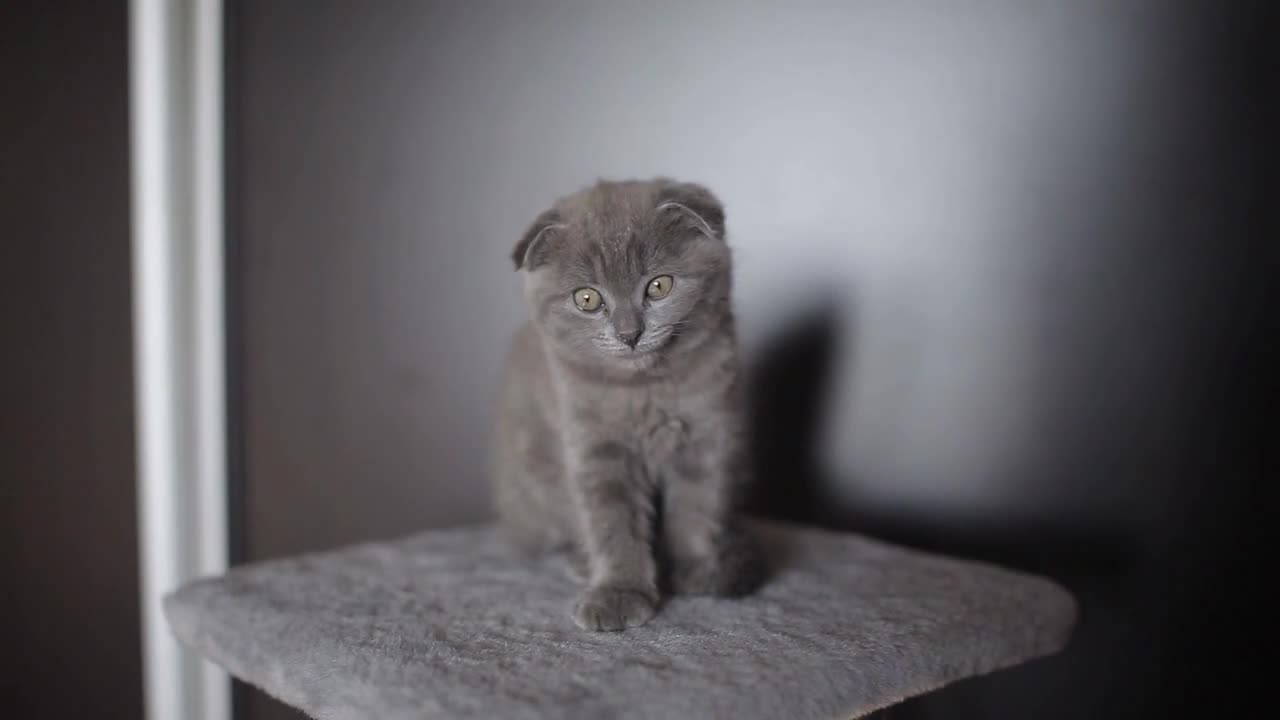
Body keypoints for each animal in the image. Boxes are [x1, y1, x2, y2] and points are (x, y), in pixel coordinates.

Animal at [494, 178, 762, 627]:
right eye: (587, 299)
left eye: (659, 286)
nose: (629, 333)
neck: (645, 389)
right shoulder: (598, 447)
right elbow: (611, 520)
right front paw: (619, 592)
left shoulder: (705, 434)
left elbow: (696, 503)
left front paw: (696, 567)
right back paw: (580, 562)